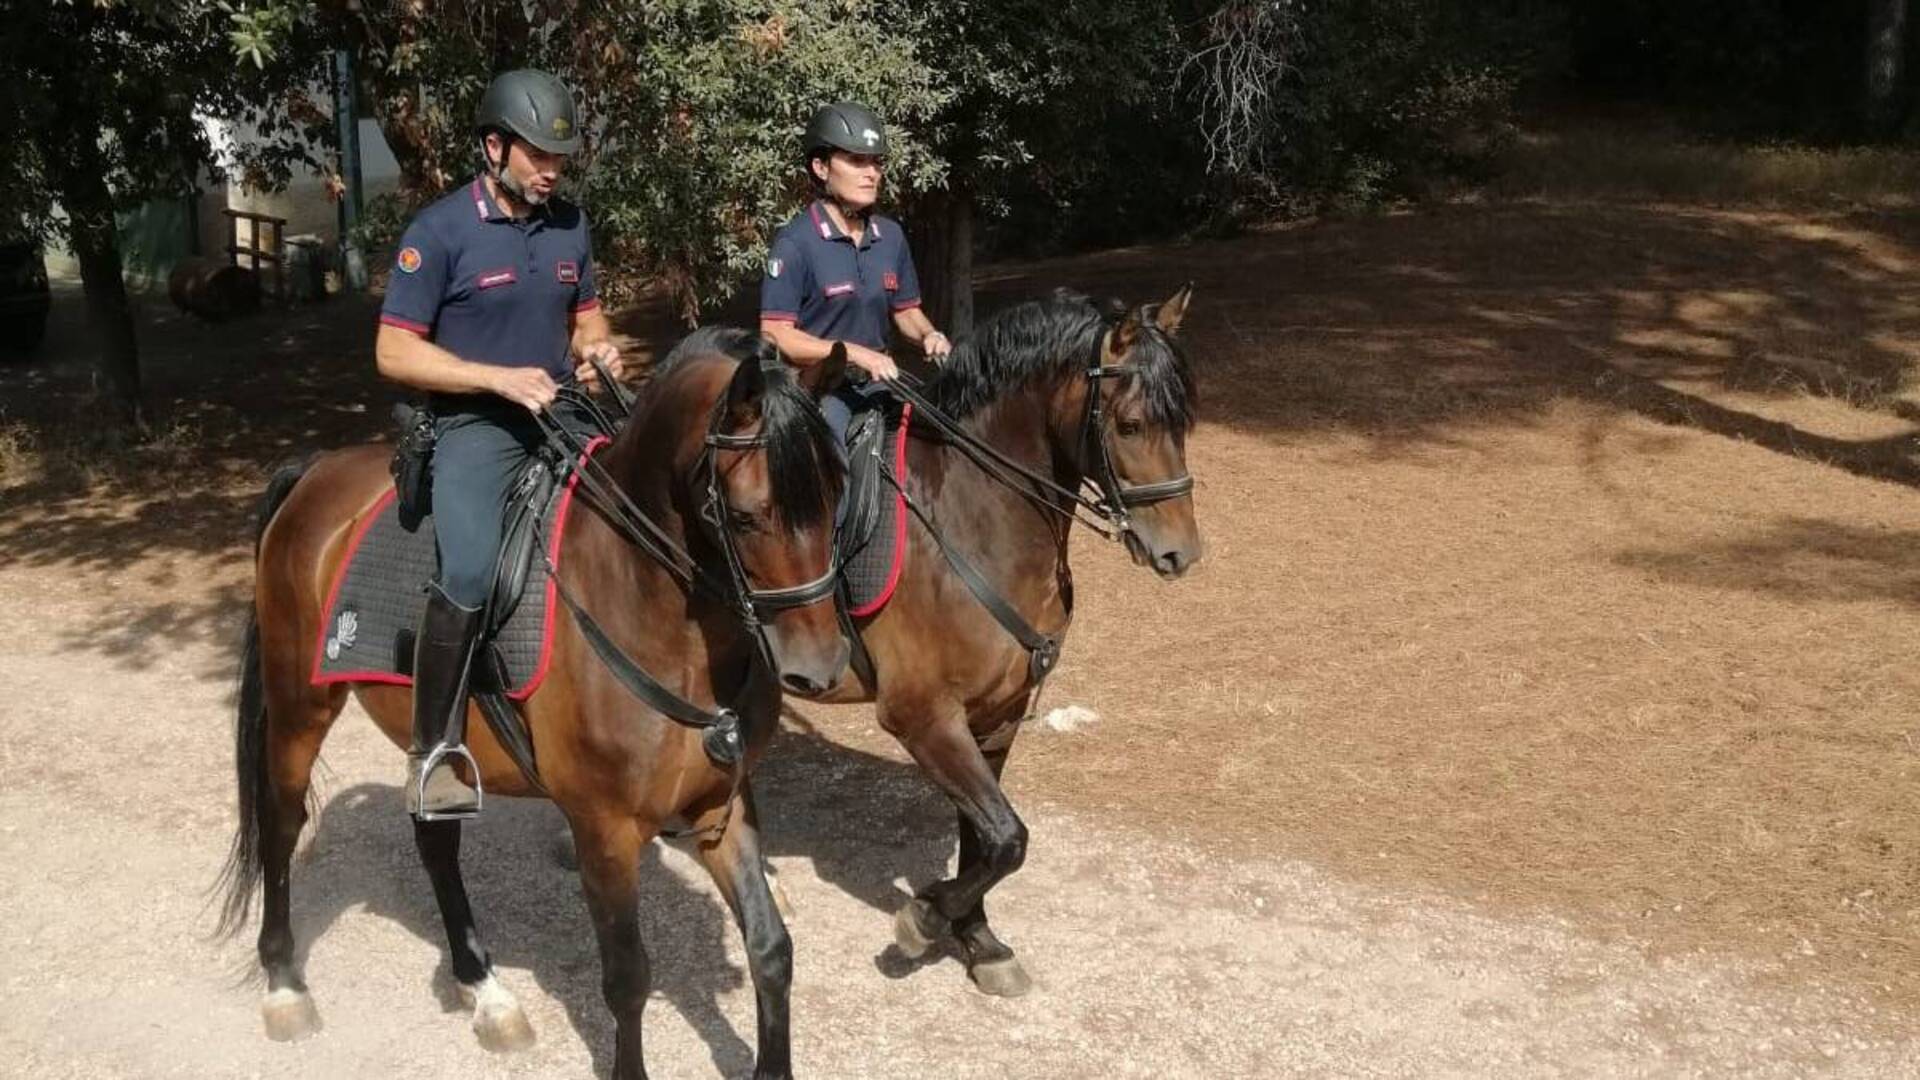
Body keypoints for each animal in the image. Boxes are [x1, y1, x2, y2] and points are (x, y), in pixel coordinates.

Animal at [216, 330, 840, 1076]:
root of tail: (316, 470)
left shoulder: (722, 801)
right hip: (298, 707)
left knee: (435, 840)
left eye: (838, 497)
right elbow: (627, 978)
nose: (818, 670)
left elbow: (770, 950)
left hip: (431, 742)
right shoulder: (603, 828)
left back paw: (485, 990)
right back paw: (284, 984)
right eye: (745, 516)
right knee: (282, 824)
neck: (647, 606)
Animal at [794, 284, 1198, 991]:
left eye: (1182, 422)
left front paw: (980, 942)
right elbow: (1009, 838)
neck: (971, 520)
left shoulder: (997, 712)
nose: (1181, 552)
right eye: (1129, 425)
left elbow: (986, 839)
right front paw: (924, 919)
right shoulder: (924, 717)